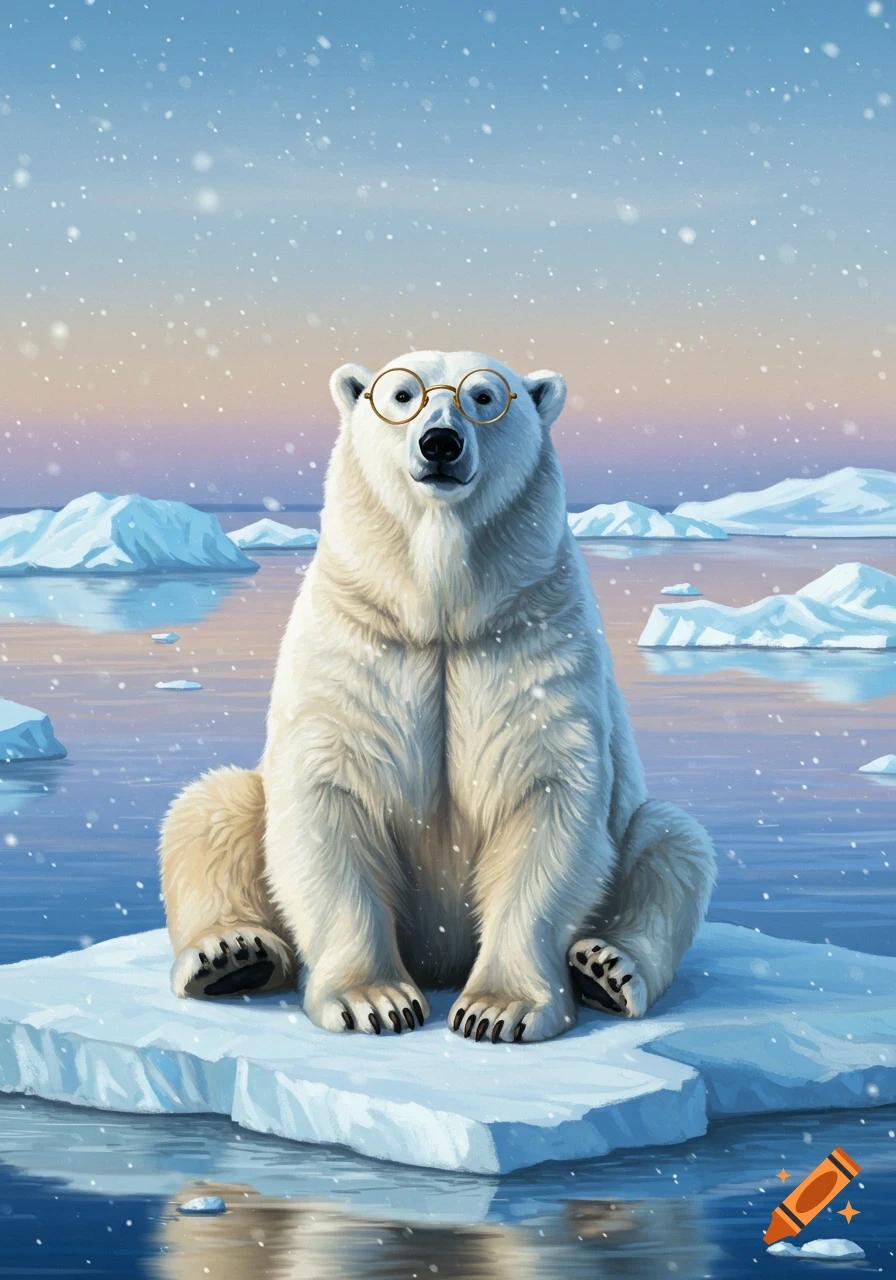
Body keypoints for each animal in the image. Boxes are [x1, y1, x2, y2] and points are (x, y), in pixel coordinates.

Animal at [159, 350, 716, 1043]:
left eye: (485, 397)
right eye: (401, 395)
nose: (440, 442)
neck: (441, 614)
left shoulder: (527, 639)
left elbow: (547, 799)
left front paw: (497, 1009)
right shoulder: (362, 642)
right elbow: (327, 798)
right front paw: (374, 1001)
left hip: (643, 833)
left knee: (673, 843)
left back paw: (605, 969)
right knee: (212, 806)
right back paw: (231, 955)